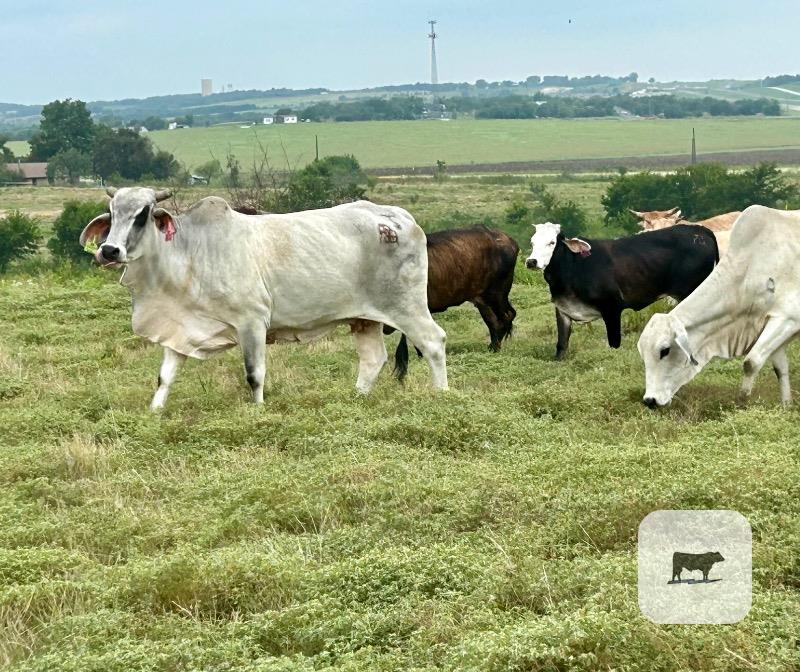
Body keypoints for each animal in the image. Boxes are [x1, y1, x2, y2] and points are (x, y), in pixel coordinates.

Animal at [79, 187, 448, 409]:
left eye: (142, 214)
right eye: (111, 214)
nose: (109, 251)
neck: (191, 252)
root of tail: (399, 217)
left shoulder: (252, 322)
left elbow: (254, 374)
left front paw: (258, 411)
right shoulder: (180, 328)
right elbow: (165, 376)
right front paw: (154, 412)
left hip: (407, 307)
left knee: (433, 342)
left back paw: (442, 395)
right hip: (365, 318)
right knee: (373, 360)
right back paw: (355, 398)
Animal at [390, 227, 519, 380]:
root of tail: (509, 240)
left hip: (497, 293)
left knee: (507, 315)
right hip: (482, 300)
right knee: (493, 322)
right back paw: (492, 348)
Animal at [525, 222, 718, 359]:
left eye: (551, 242)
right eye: (532, 242)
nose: (531, 261)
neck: (573, 267)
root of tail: (702, 232)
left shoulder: (612, 308)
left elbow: (614, 343)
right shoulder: (562, 310)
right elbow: (561, 345)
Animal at [639, 206, 800, 408]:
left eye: (665, 350)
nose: (649, 400)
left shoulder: (788, 319)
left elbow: (751, 362)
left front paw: (743, 401)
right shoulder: (768, 322)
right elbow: (780, 368)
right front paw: (786, 405)